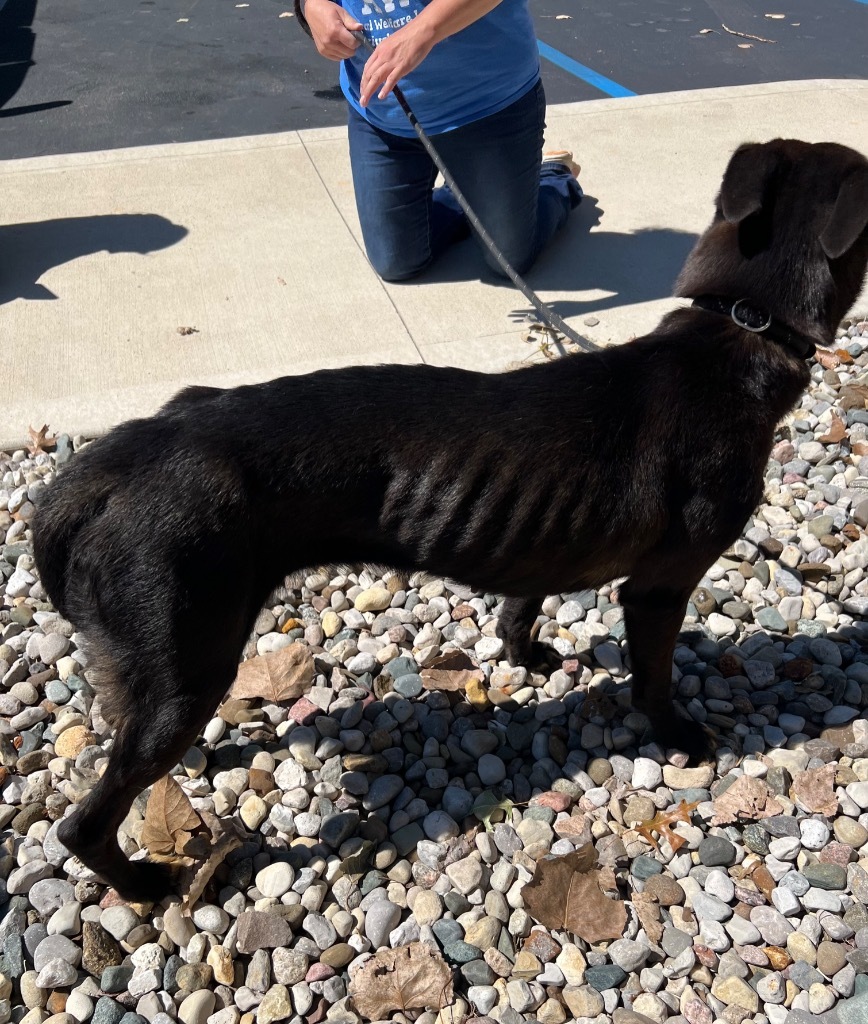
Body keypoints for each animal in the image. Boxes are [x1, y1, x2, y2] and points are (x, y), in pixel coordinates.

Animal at [32, 138, 868, 897]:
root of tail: (116, 462)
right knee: (83, 823)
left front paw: (527, 657)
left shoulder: (543, 545)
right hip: (185, 658)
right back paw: (143, 885)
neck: (744, 326)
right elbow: (655, 678)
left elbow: (522, 605)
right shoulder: (660, 588)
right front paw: (678, 736)